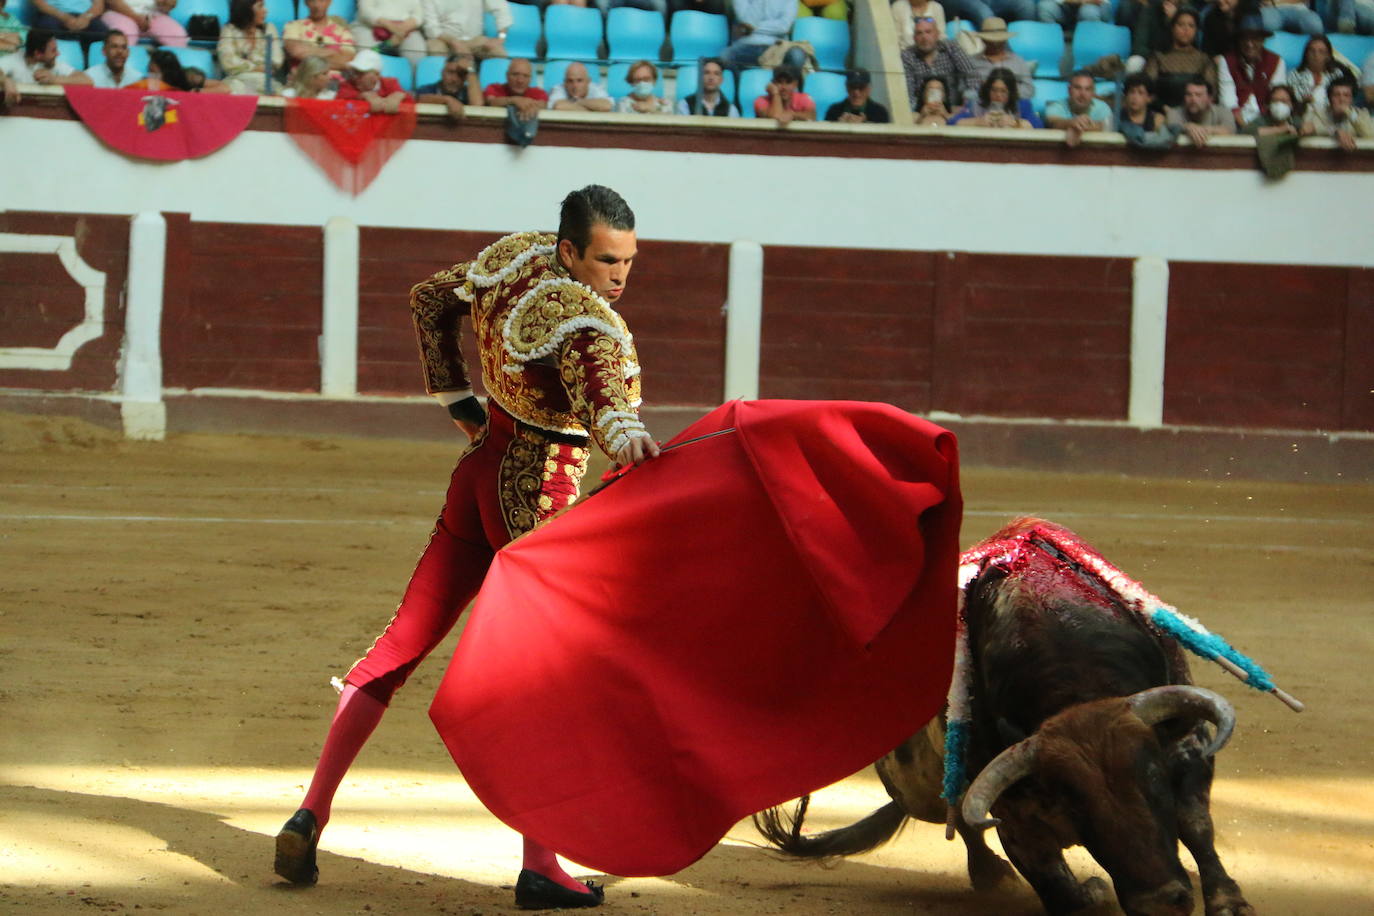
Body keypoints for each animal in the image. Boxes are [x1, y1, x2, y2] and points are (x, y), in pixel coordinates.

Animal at [758, 519, 1258, 916]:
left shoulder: (1187, 747)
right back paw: (991, 875)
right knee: (959, 819)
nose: (1159, 902)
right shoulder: (1013, 810)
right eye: (1073, 802)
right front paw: (1090, 891)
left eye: (1152, 774)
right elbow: (1052, 880)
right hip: (916, 788)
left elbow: (1195, 824)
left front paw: (1228, 903)